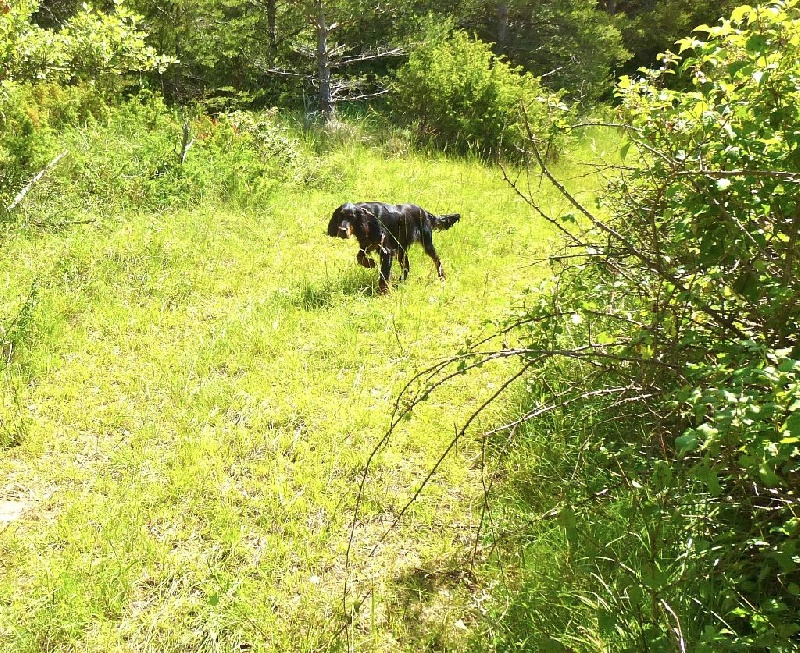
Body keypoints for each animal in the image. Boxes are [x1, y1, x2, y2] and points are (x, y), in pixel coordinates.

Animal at [326, 199, 462, 290]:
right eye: (339, 216)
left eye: (352, 217)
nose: (342, 230)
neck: (368, 219)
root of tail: (424, 212)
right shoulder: (366, 244)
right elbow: (360, 257)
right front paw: (371, 263)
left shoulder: (386, 250)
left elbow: (384, 275)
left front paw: (383, 292)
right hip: (401, 250)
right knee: (407, 266)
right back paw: (401, 282)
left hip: (427, 243)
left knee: (436, 260)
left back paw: (442, 277)